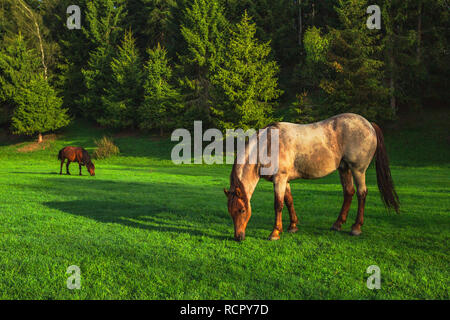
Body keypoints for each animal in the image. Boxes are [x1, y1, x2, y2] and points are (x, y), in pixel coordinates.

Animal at [223, 112, 400, 240]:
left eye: (242, 210)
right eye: (230, 211)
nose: (238, 237)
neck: (267, 145)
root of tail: (369, 124)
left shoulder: (279, 179)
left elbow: (278, 205)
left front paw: (275, 232)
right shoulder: (284, 180)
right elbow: (289, 201)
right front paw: (293, 226)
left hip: (358, 170)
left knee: (362, 194)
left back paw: (356, 228)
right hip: (344, 169)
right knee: (349, 192)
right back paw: (337, 224)